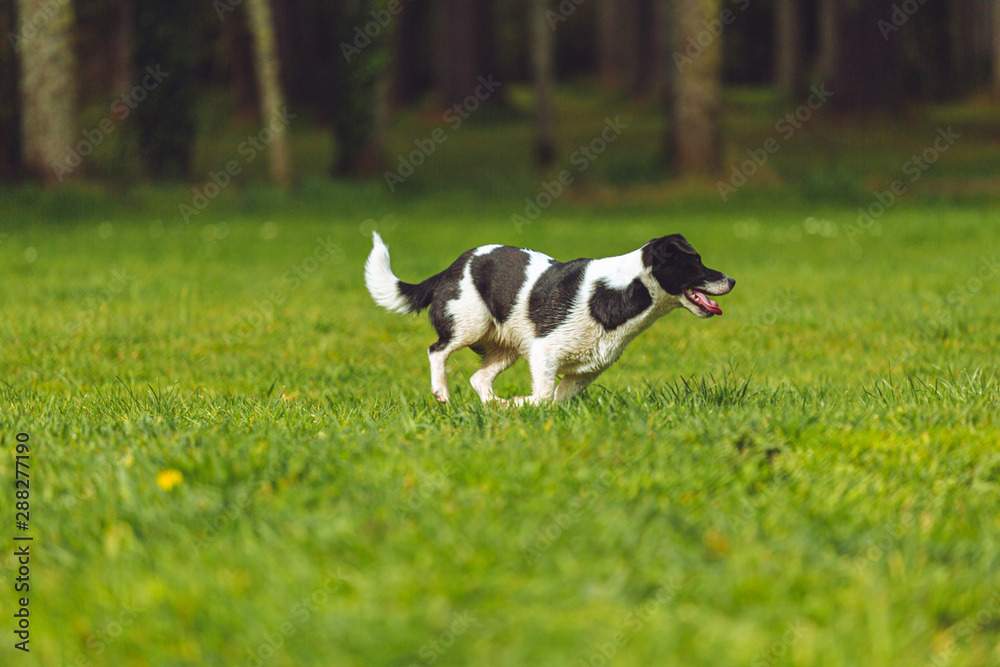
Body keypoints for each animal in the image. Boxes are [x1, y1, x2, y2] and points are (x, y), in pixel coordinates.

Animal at [368, 232, 736, 404]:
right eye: (696, 261)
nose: (732, 280)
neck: (622, 290)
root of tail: (450, 268)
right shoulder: (544, 353)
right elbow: (544, 396)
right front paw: (521, 402)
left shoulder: (585, 371)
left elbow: (555, 401)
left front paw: (517, 406)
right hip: (469, 324)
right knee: (437, 350)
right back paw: (442, 393)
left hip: (508, 348)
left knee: (479, 379)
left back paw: (494, 406)